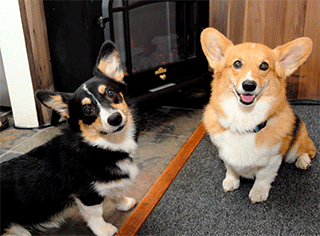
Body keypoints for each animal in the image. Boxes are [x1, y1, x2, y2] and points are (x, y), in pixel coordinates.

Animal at [1, 41, 139, 235]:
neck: (102, 145)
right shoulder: (87, 194)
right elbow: (95, 214)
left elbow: (116, 193)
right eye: (87, 110)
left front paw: (125, 203)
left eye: (111, 93)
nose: (115, 119)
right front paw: (105, 230)